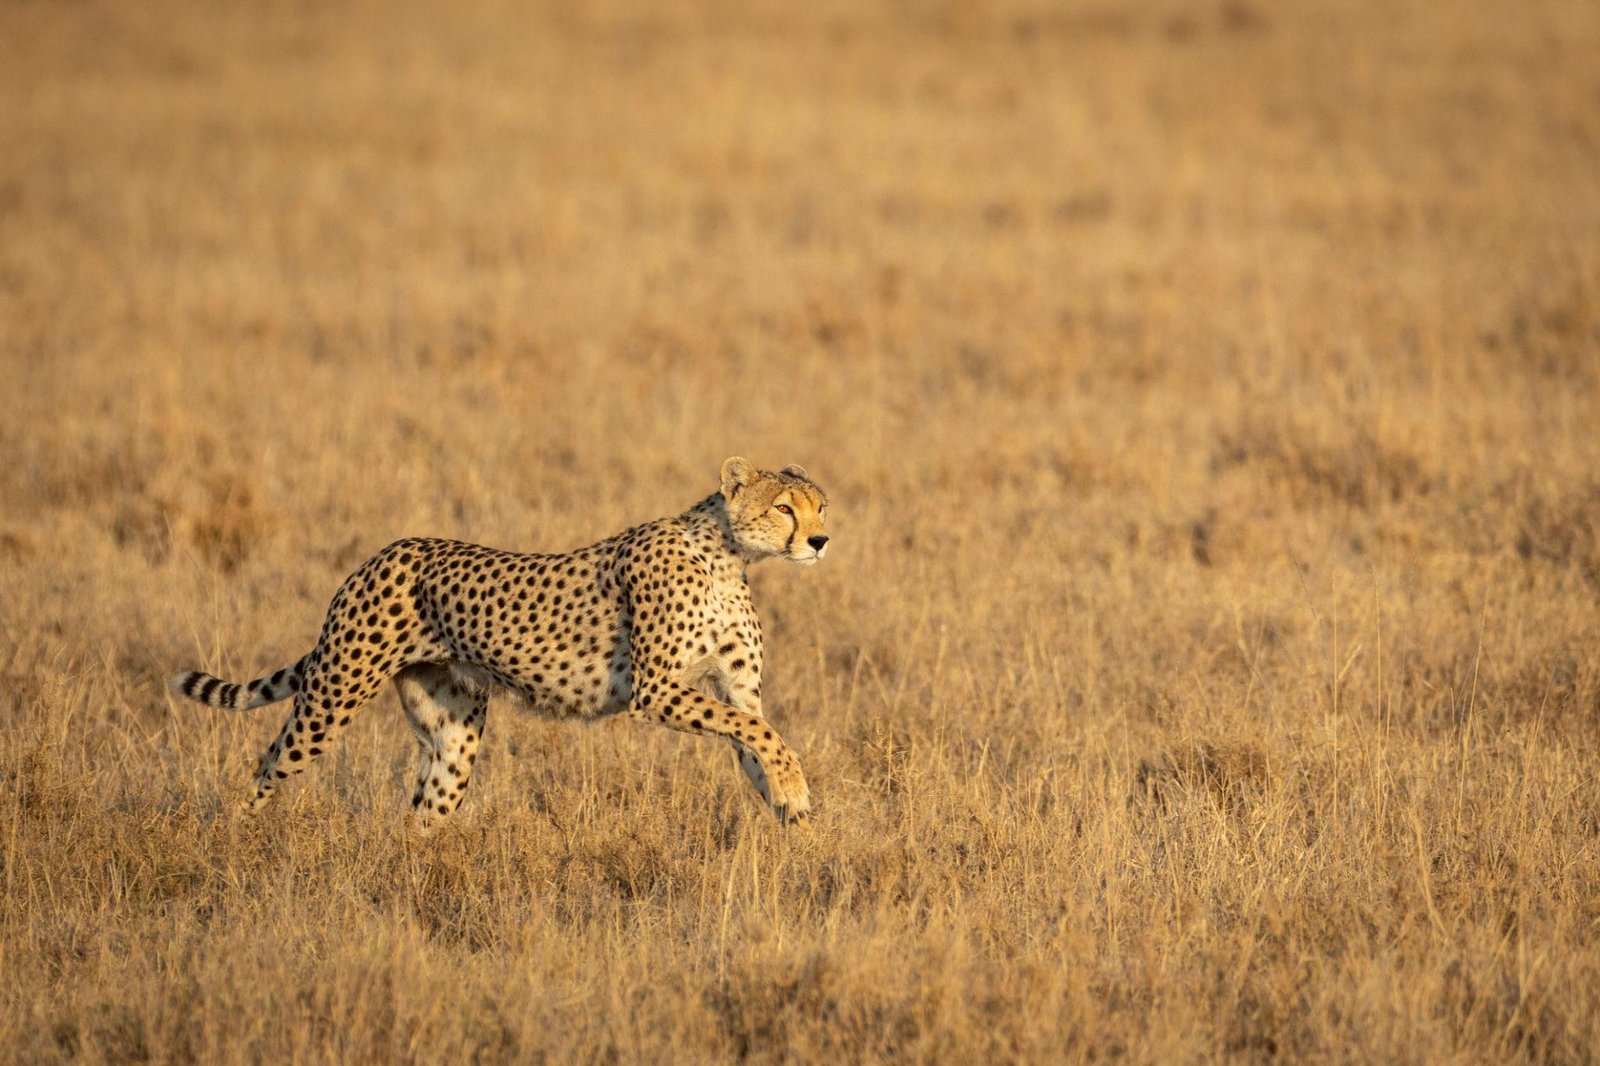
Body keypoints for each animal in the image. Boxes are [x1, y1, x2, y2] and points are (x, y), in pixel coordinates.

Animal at [171, 457, 829, 826]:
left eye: (820, 506)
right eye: (783, 509)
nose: (821, 541)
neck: (729, 555)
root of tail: (381, 553)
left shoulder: (735, 690)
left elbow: (756, 735)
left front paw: (789, 808)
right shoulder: (656, 692)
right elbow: (764, 733)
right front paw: (795, 792)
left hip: (453, 732)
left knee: (422, 812)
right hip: (332, 695)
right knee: (266, 766)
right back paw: (234, 840)